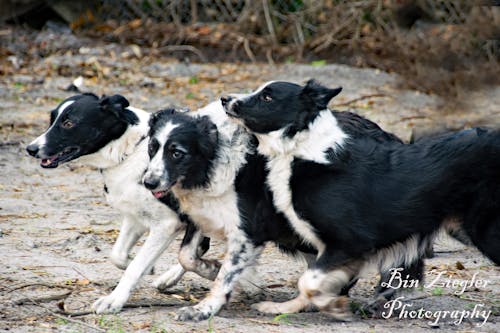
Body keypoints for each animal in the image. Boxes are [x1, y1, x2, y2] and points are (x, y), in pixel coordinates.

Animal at [26, 94, 220, 312]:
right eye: (52, 120)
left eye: (69, 123)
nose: (30, 149)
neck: (130, 151)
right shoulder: (135, 217)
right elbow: (118, 255)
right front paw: (147, 267)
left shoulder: (167, 224)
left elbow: (136, 266)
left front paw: (114, 299)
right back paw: (172, 277)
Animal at [143, 98, 416, 320]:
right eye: (152, 148)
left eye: (177, 153)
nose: (148, 183)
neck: (217, 154)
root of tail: (388, 135)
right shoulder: (204, 212)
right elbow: (187, 256)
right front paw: (215, 270)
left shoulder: (248, 231)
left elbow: (224, 274)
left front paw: (204, 308)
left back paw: (375, 301)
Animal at [225, 80, 500, 320]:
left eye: (267, 97)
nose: (225, 99)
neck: (304, 149)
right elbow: (316, 281)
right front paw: (290, 307)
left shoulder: (350, 241)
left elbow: (309, 281)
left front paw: (330, 306)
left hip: (485, 232)